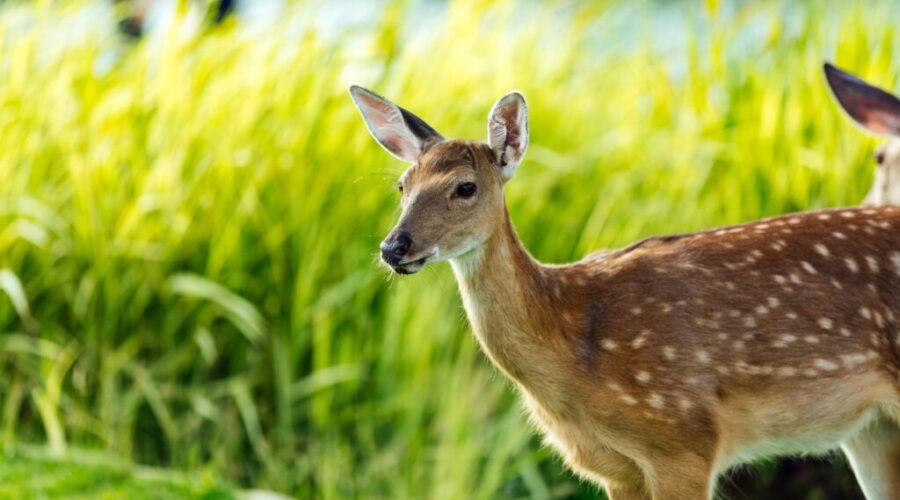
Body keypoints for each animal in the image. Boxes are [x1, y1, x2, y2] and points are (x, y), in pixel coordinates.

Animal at [349, 85, 900, 500]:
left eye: (466, 187)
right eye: (402, 186)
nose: (394, 247)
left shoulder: (684, 441)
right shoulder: (615, 469)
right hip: (871, 429)